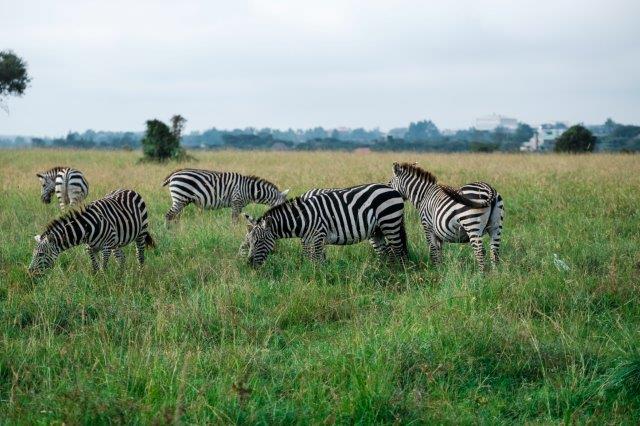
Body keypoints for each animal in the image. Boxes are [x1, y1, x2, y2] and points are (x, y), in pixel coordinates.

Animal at [28, 188, 156, 274]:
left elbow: (103, 267)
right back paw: (121, 275)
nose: (30, 271)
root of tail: (128, 189)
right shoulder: (89, 248)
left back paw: (140, 274)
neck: (86, 229)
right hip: (116, 242)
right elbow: (95, 267)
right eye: (33, 253)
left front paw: (103, 283)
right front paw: (96, 282)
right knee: (121, 258)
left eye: (40, 254)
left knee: (140, 255)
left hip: (141, 233)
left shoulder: (106, 247)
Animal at [162, 168, 290, 225]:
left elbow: (236, 219)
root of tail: (174, 174)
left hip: (182, 200)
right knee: (168, 216)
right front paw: (233, 233)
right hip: (180, 197)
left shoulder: (239, 205)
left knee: (175, 217)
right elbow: (234, 220)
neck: (249, 189)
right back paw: (169, 234)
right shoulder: (236, 201)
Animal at [240, 185, 410, 268]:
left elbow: (317, 260)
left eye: (259, 242)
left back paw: (399, 275)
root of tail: (392, 189)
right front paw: (310, 275)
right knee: (385, 252)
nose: (249, 264)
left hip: (390, 222)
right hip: (376, 230)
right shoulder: (307, 239)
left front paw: (318, 278)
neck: (303, 219)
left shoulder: (318, 236)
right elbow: (309, 258)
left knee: (398, 251)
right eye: (249, 242)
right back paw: (384, 273)